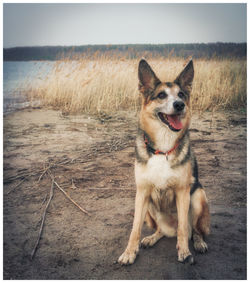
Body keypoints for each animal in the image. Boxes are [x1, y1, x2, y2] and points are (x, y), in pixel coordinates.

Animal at [118, 58, 210, 266]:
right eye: (161, 95)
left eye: (181, 94)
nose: (180, 105)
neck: (163, 149)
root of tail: (170, 228)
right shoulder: (142, 192)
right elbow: (135, 228)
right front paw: (129, 252)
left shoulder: (183, 192)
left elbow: (184, 227)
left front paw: (184, 251)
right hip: (150, 210)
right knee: (161, 230)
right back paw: (152, 238)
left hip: (198, 196)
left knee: (194, 230)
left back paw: (198, 242)